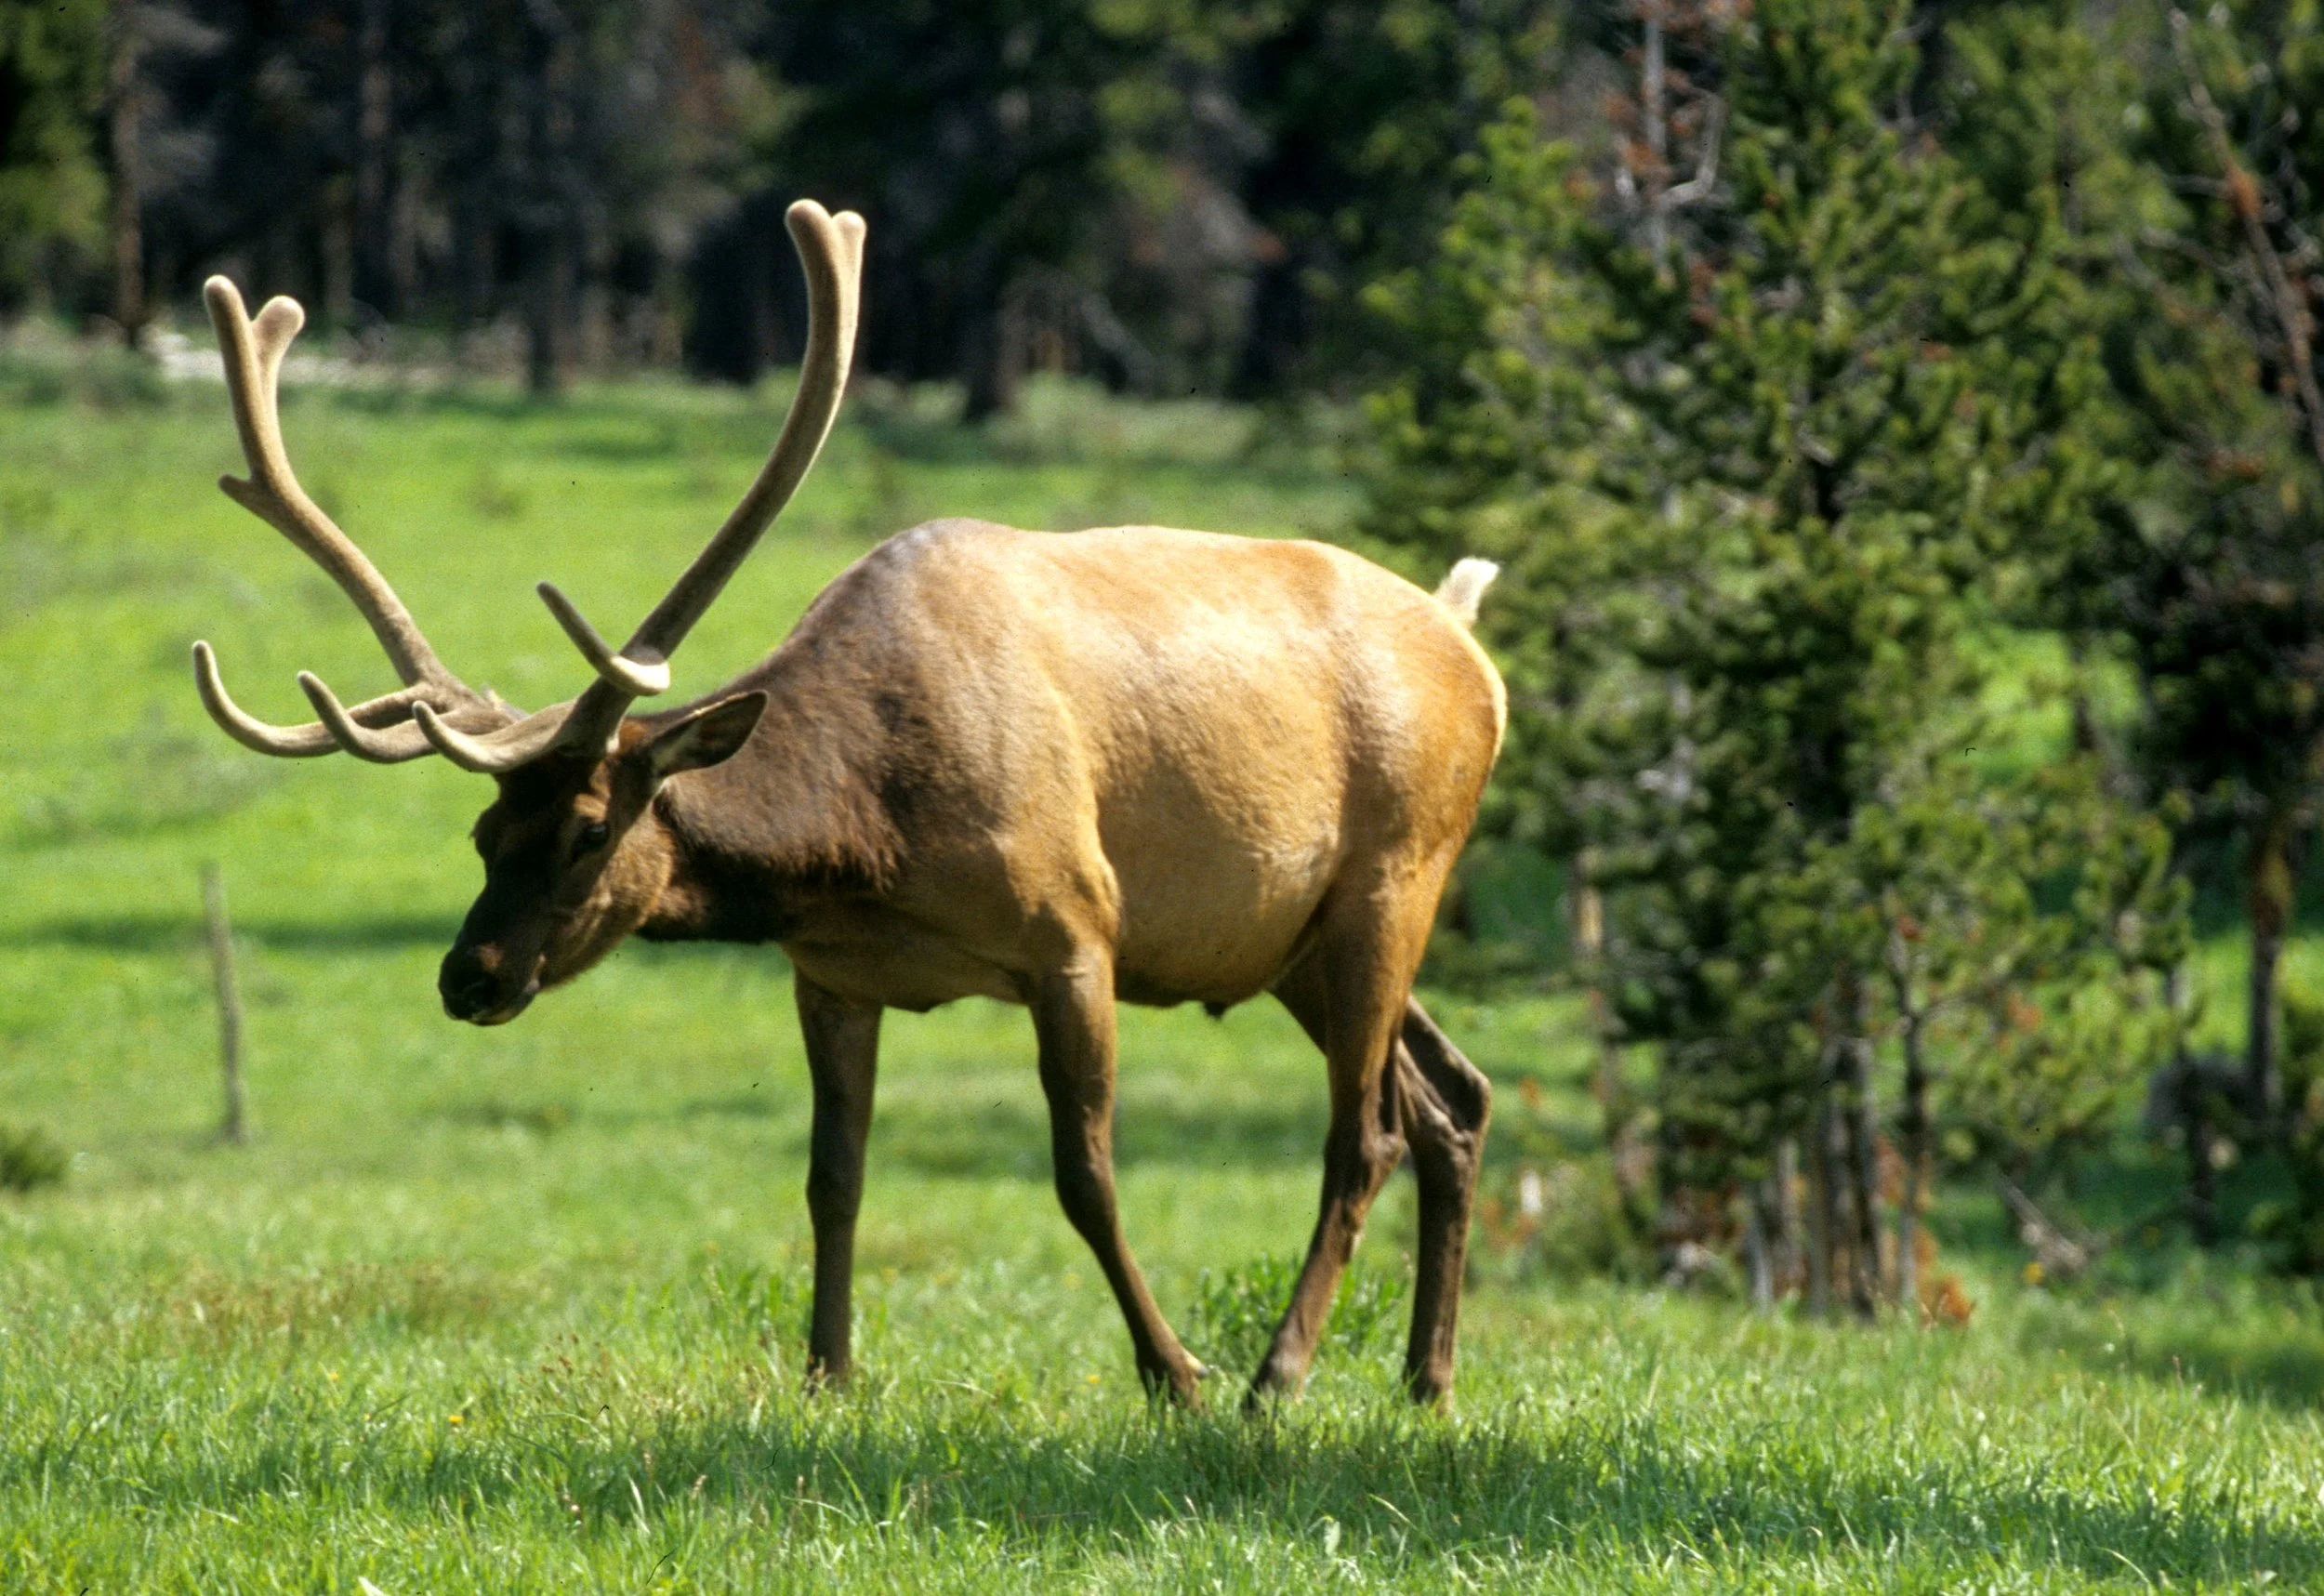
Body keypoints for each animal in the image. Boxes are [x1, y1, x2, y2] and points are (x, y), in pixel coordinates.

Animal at [188, 199, 1504, 1409]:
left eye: (586, 829)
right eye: (479, 833)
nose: (470, 975)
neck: (866, 840)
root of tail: (1474, 651)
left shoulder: (1076, 929)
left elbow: (1083, 1172)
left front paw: (1172, 1369)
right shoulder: (830, 973)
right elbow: (834, 1176)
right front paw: (828, 1371)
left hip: (1396, 874)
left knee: (1366, 1132)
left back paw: (1277, 1374)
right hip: (1289, 939)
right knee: (1453, 1097)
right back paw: (1426, 1377)